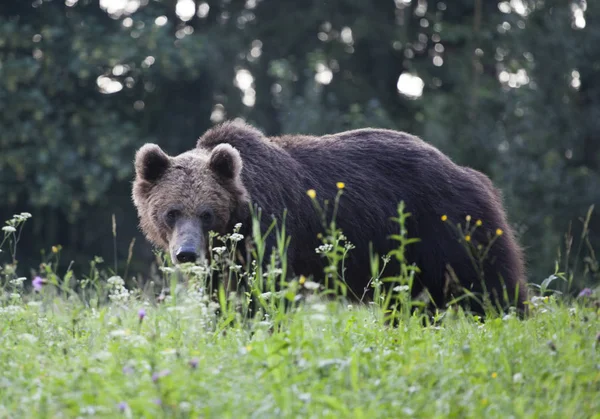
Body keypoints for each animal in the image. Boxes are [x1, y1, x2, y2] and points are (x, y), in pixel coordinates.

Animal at [134, 120, 528, 316]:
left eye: (207, 213)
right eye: (171, 212)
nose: (186, 253)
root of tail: (469, 173)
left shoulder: (273, 233)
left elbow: (264, 292)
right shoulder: (225, 262)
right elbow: (221, 295)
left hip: (449, 228)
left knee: (491, 284)